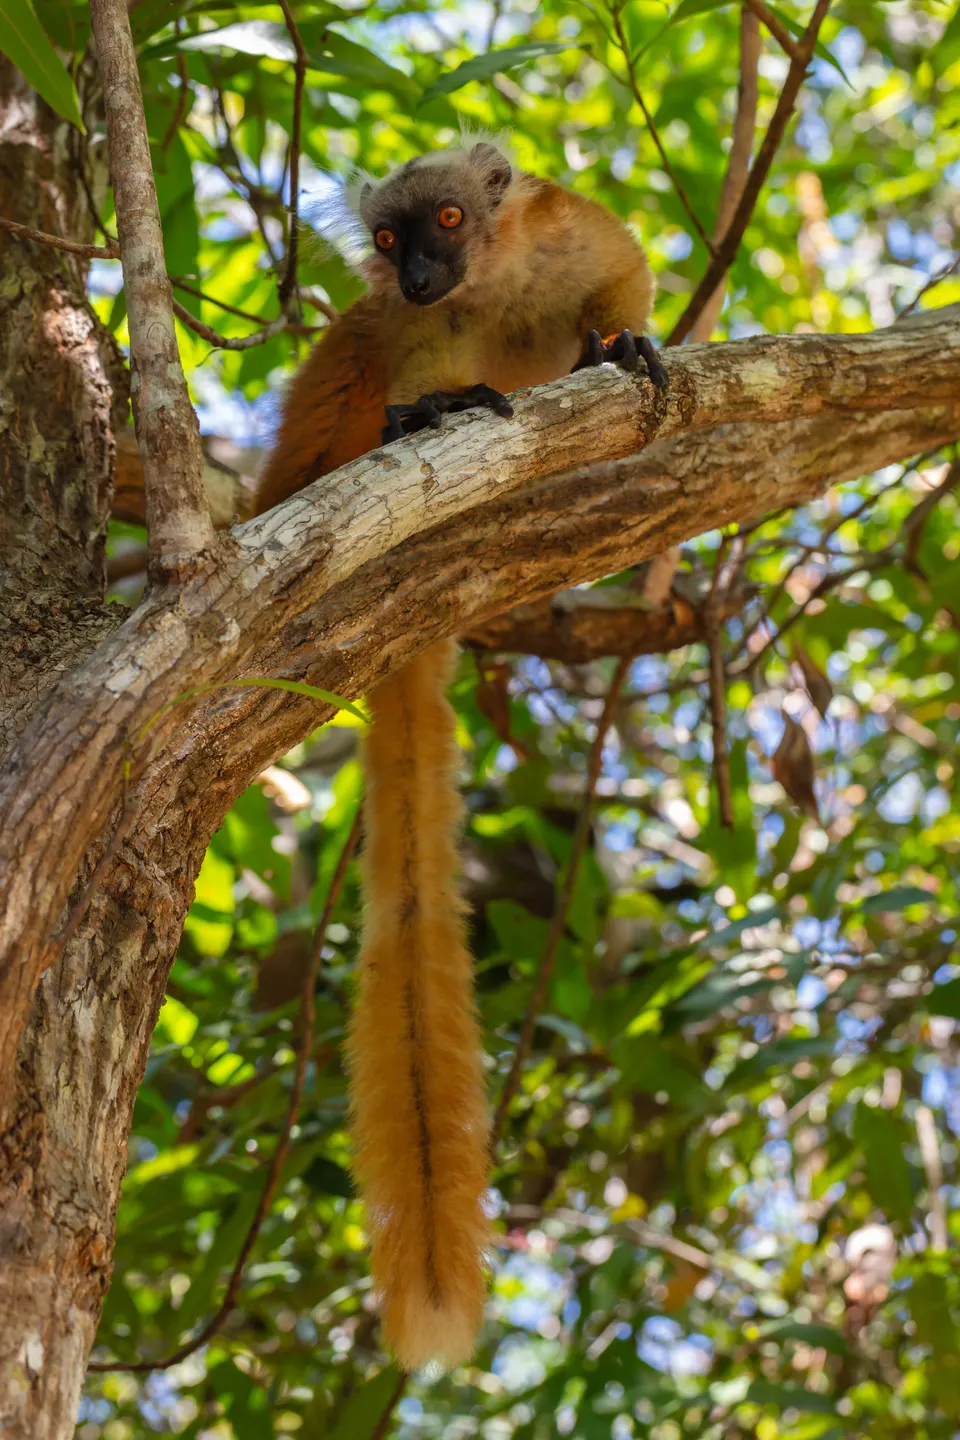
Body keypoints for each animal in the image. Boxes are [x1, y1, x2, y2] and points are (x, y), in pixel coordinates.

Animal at [255, 137, 665, 1373]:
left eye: (443, 219)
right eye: (391, 238)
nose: (422, 275)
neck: (489, 288)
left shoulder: (563, 232)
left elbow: (622, 276)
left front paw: (620, 344)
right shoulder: (403, 323)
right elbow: (393, 361)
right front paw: (430, 407)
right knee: (338, 405)